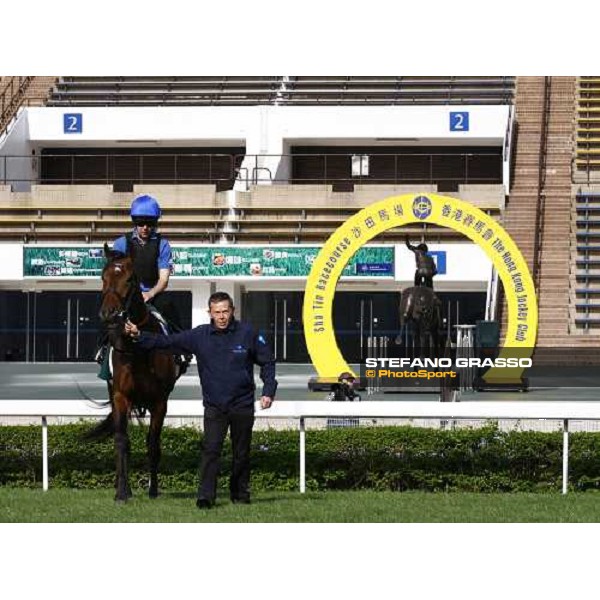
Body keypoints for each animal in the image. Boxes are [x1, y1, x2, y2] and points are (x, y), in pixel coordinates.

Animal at [86, 244, 178, 502]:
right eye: (103, 277)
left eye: (128, 279)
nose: (108, 313)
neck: (138, 350)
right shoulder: (121, 396)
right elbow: (122, 442)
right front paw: (121, 492)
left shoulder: (160, 401)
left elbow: (153, 444)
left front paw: (153, 489)